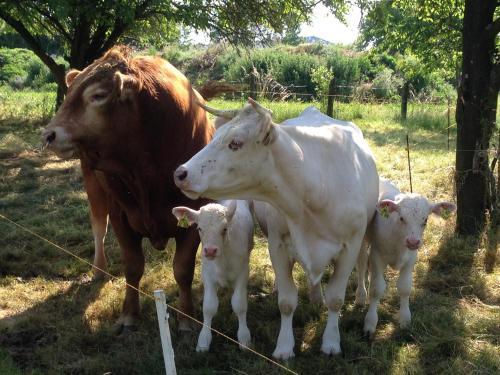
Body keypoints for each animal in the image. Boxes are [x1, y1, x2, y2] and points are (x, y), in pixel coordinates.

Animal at [44, 46, 219, 332]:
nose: (48, 135)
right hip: (93, 186)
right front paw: (129, 314)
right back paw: (99, 269)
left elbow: (183, 269)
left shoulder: (195, 214)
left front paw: (186, 316)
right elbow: (133, 266)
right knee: (98, 227)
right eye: (69, 94)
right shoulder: (121, 215)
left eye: (98, 95)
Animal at [172, 200, 254, 352]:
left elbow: (239, 304)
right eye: (199, 228)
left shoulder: (243, 272)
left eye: (224, 229)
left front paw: (244, 337)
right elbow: (209, 306)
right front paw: (204, 340)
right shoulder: (207, 274)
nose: (210, 250)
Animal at [360, 179, 458, 338]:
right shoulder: (377, 255)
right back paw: (361, 296)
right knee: (362, 264)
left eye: (425, 220)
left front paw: (405, 319)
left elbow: (405, 288)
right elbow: (376, 288)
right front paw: (370, 322)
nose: (413, 242)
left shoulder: (411, 259)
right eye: (401, 218)